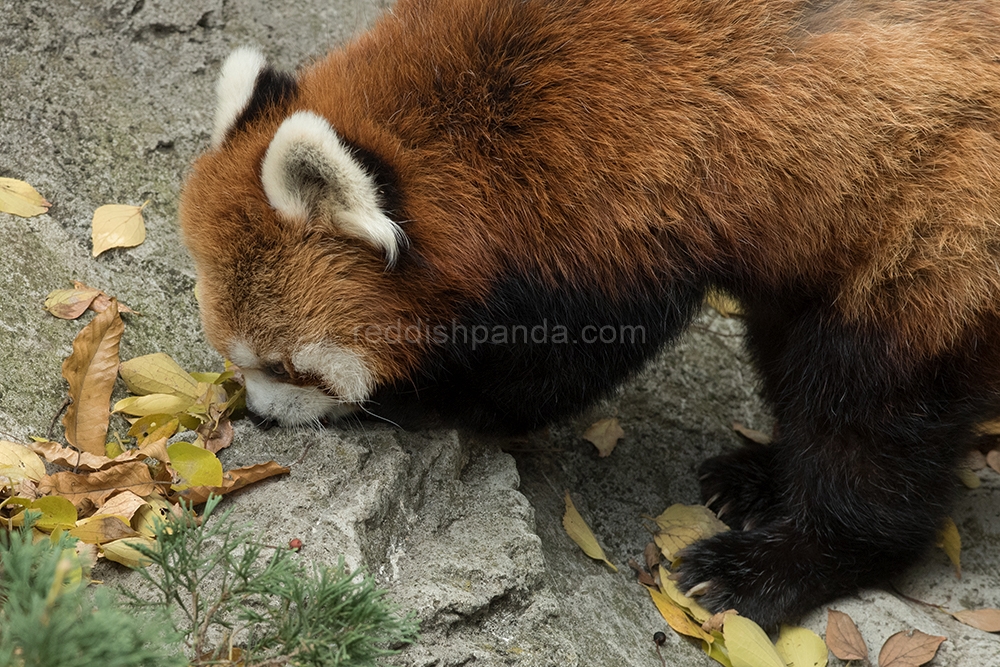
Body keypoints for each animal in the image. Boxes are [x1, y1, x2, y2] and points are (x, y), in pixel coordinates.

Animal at [180, 0, 1000, 628]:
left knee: (868, 414)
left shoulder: (622, 211)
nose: (260, 417)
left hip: (931, 224)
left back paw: (776, 563)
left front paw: (419, 396)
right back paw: (757, 475)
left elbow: (546, 370)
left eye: (289, 365)